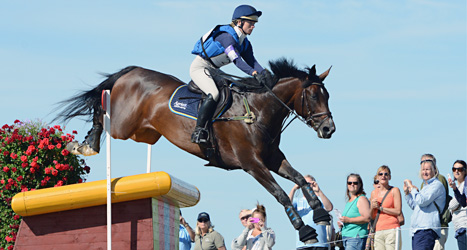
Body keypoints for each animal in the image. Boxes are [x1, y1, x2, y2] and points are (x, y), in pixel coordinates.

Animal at [54, 58, 336, 242]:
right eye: (313, 96)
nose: (329, 129)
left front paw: (321, 213)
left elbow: (299, 179)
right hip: (122, 125)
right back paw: (84, 144)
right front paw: (305, 231)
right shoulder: (252, 164)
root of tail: (132, 71)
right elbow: (281, 194)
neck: (257, 111)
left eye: (328, 96)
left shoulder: (273, 158)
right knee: (100, 110)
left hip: (142, 132)